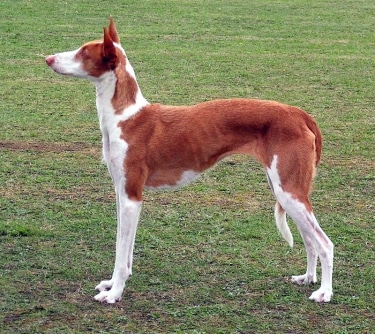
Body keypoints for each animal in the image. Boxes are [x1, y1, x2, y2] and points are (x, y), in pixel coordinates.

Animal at [44, 17, 334, 304]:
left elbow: (120, 254)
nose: (47, 58)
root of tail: (300, 114)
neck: (126, 117)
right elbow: (124, 250)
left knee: (325, 244)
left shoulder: (132, 197)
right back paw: (308, 278)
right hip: (286, 190)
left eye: (83, 52)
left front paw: (115, 293)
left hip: (289, 192)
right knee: (310, 241)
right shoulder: (122, 193)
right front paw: (111, 284)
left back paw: (324, 292)